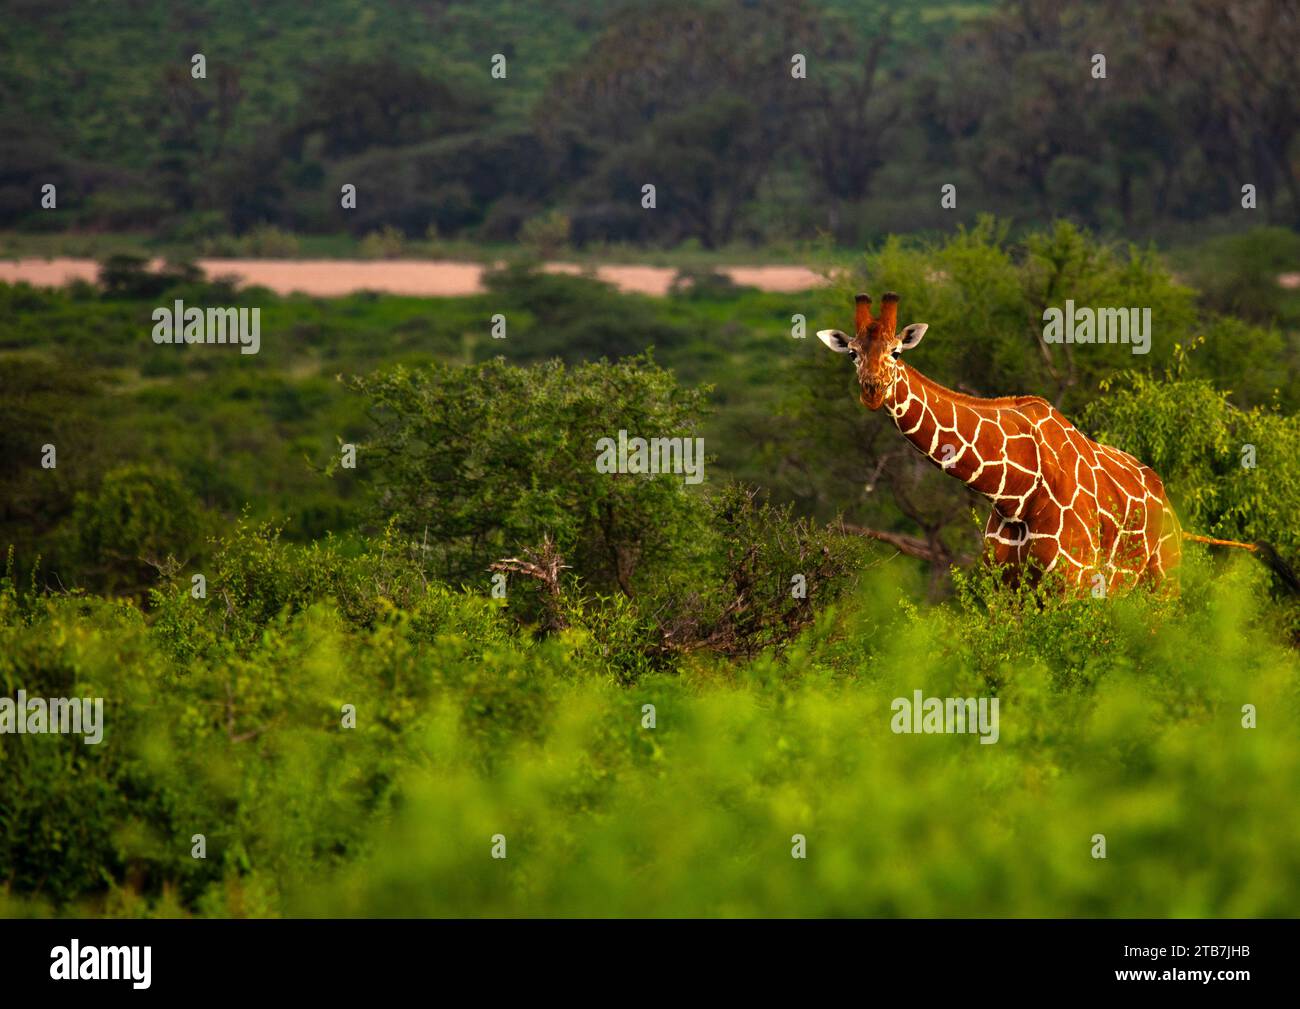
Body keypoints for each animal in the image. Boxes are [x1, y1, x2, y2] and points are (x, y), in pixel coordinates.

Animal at [817, 292, 1182, 591]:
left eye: (895, 352)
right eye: (852, 354)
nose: (872, 390)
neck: (1015, 492)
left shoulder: (1073, 583)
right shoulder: (1004, 588)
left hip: (1162, 583)